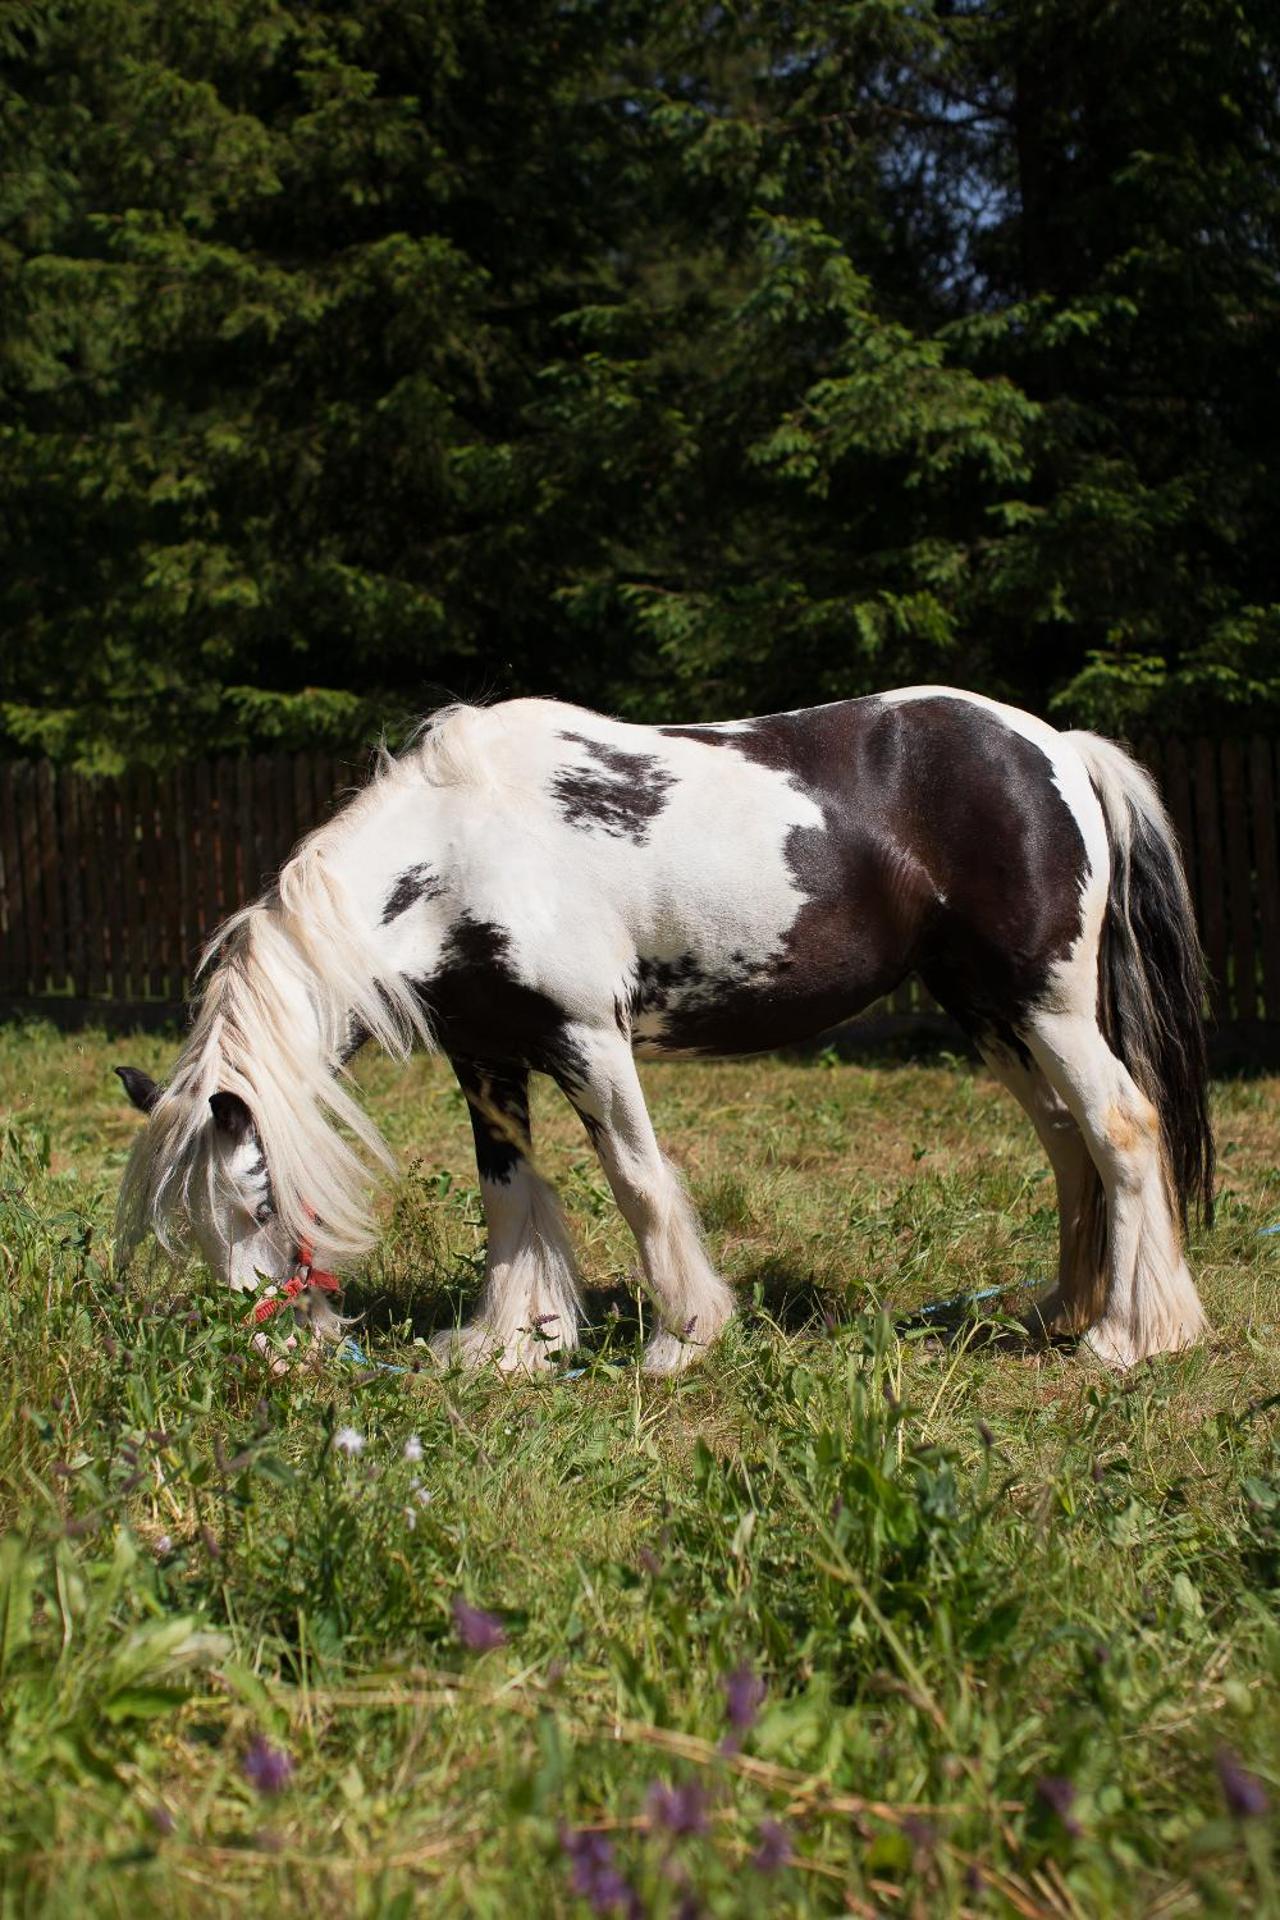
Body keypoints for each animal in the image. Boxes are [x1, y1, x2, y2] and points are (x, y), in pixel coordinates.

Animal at [116, 688, 1214, 1375]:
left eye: (263, 1203)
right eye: (193, 1223)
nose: (265, 1353)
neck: (458, 854)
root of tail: (1056, 746)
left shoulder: (586, 1040)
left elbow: (638, 1180)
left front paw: (681, 1338)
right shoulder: (486, 1056)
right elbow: (507, 1195)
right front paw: (509, 1344)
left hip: (1047, 1004)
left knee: (1121, 1126)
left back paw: (1130, 1337)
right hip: (987, 1011)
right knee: (1065, 1141)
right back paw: (1063, 1311)